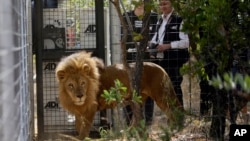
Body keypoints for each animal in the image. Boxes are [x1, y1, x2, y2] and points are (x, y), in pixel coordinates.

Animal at [56, 50, 184, 139]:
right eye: (70, 85)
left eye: (83, 83)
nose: (80, 96)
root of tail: (161, 68)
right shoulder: (79, 110)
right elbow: (78, 125)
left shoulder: (91, 108)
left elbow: (84, 128)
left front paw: (82, 138)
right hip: (137, 99)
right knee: (136, 118)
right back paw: (128, 133)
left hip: (162, 96)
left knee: (173, 111)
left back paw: (174, 129)